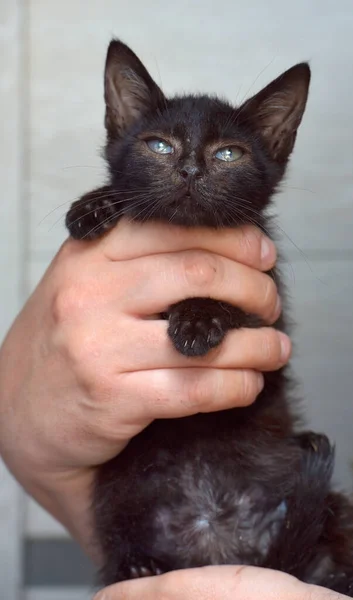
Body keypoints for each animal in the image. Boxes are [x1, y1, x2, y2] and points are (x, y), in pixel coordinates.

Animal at [65, 39, 352, 592]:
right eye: (159, 146)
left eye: (228, 154)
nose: (190, 171)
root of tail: (217, 540)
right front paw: (95, 206)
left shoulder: (269, 309)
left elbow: (234, 308)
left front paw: (197, 319)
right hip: (118, 488)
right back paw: (137, 564)